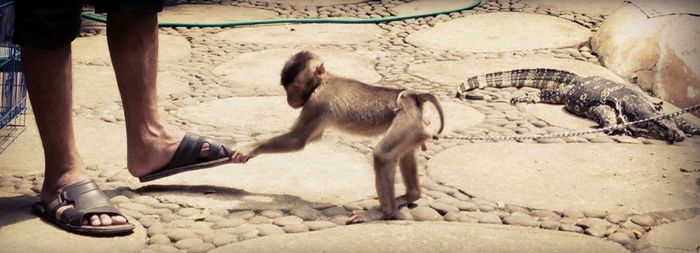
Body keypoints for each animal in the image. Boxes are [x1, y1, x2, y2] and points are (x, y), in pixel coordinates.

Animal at [232, 51, 446, 223]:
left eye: (294, 89)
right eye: (286, 89)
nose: (289, 99)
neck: (324, 81)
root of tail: (414, 97)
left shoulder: (316, 103)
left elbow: (297, 140)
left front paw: (248, 148)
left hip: (407, 122)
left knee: (383, 155)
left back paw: (385, 212)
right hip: (415, 128)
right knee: (404, 152)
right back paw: (411, 195)